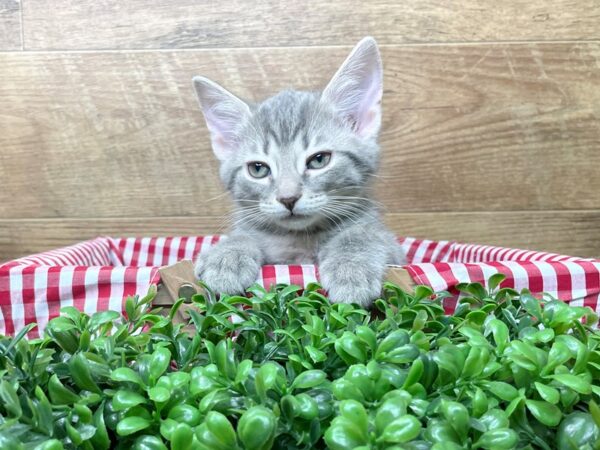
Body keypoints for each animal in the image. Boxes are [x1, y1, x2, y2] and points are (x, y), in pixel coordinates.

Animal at [192, 37, 408, 310]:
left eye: (319, 160)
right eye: (258, 169)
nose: (288, 198)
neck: (299, 240)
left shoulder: (396, 251)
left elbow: (364, 235)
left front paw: (351, 267)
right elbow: (245, 235)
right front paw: (226, 254)